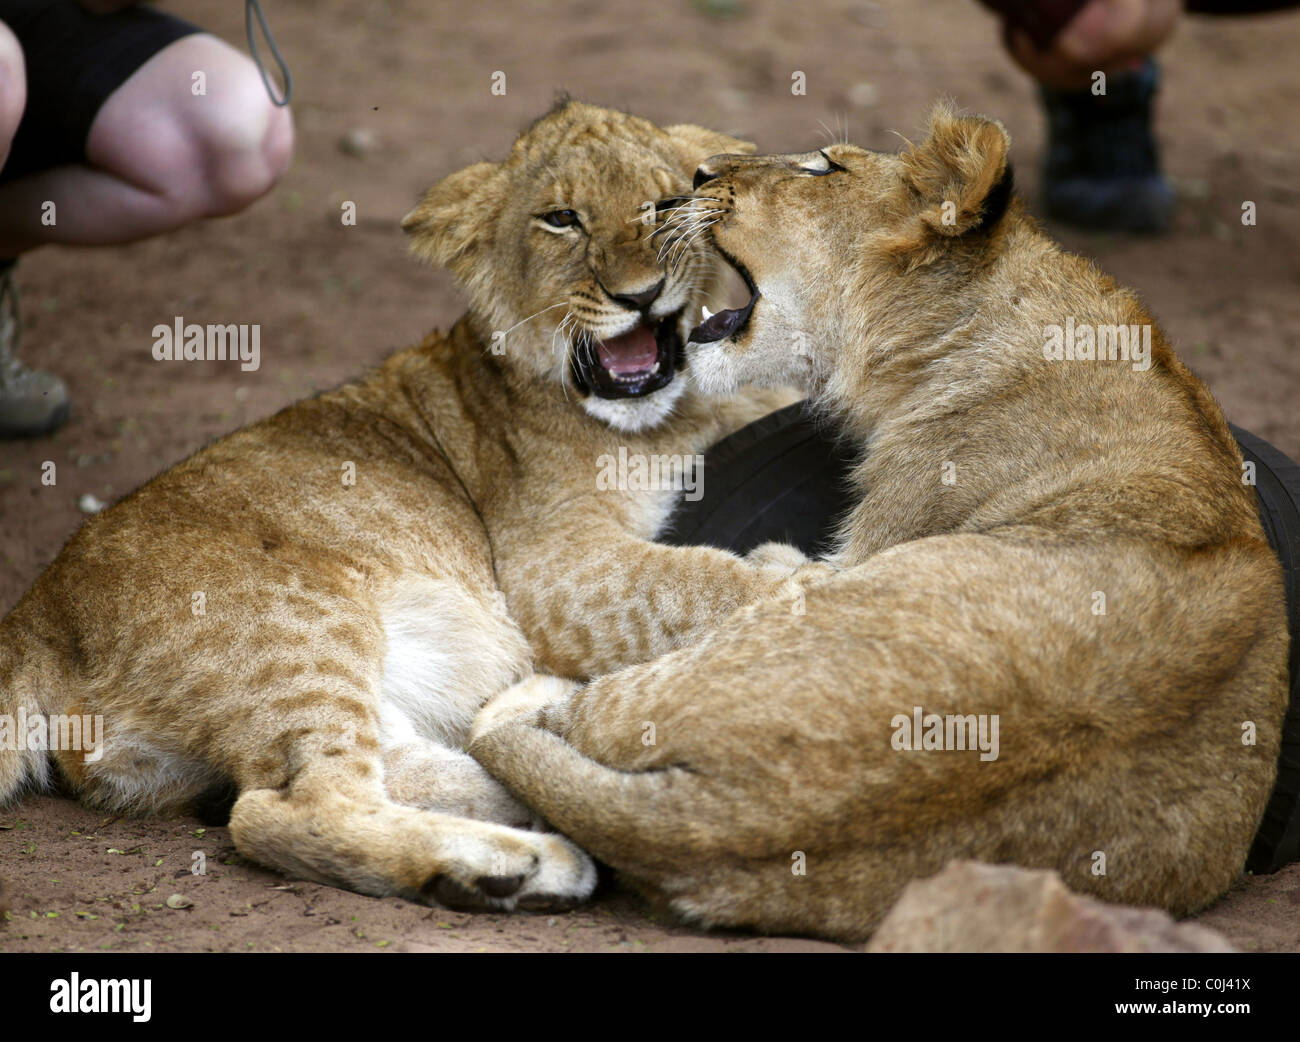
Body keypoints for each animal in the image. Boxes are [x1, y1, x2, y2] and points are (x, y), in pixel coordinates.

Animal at [0, 101, 812, 911]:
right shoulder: (551, 570)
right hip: (299, 631)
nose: (638, 295)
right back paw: (513, 867)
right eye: (561, 219)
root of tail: (35, 614)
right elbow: (704, 580)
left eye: (666, 205)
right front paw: (810, 589)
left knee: (407, 763)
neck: (680, 410)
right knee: (284, 809)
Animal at [468, 103, 1291, 939]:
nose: (694, 177)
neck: (948, 332)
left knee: (522, 719)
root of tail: (730, 816)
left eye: (825, 167)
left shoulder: (883, 526)